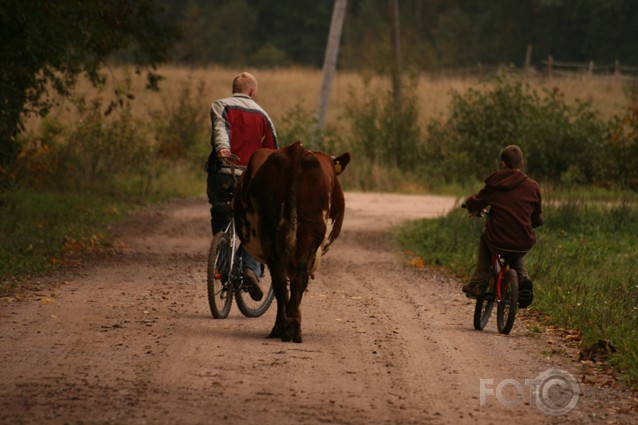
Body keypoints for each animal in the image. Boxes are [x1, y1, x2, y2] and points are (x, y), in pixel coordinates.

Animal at [234, 140, 352, 342]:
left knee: (282, 281)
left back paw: (284, 328)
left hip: (270, 234)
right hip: (308, 232)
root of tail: (297, 148)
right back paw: (291, 329)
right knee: (296, 279)